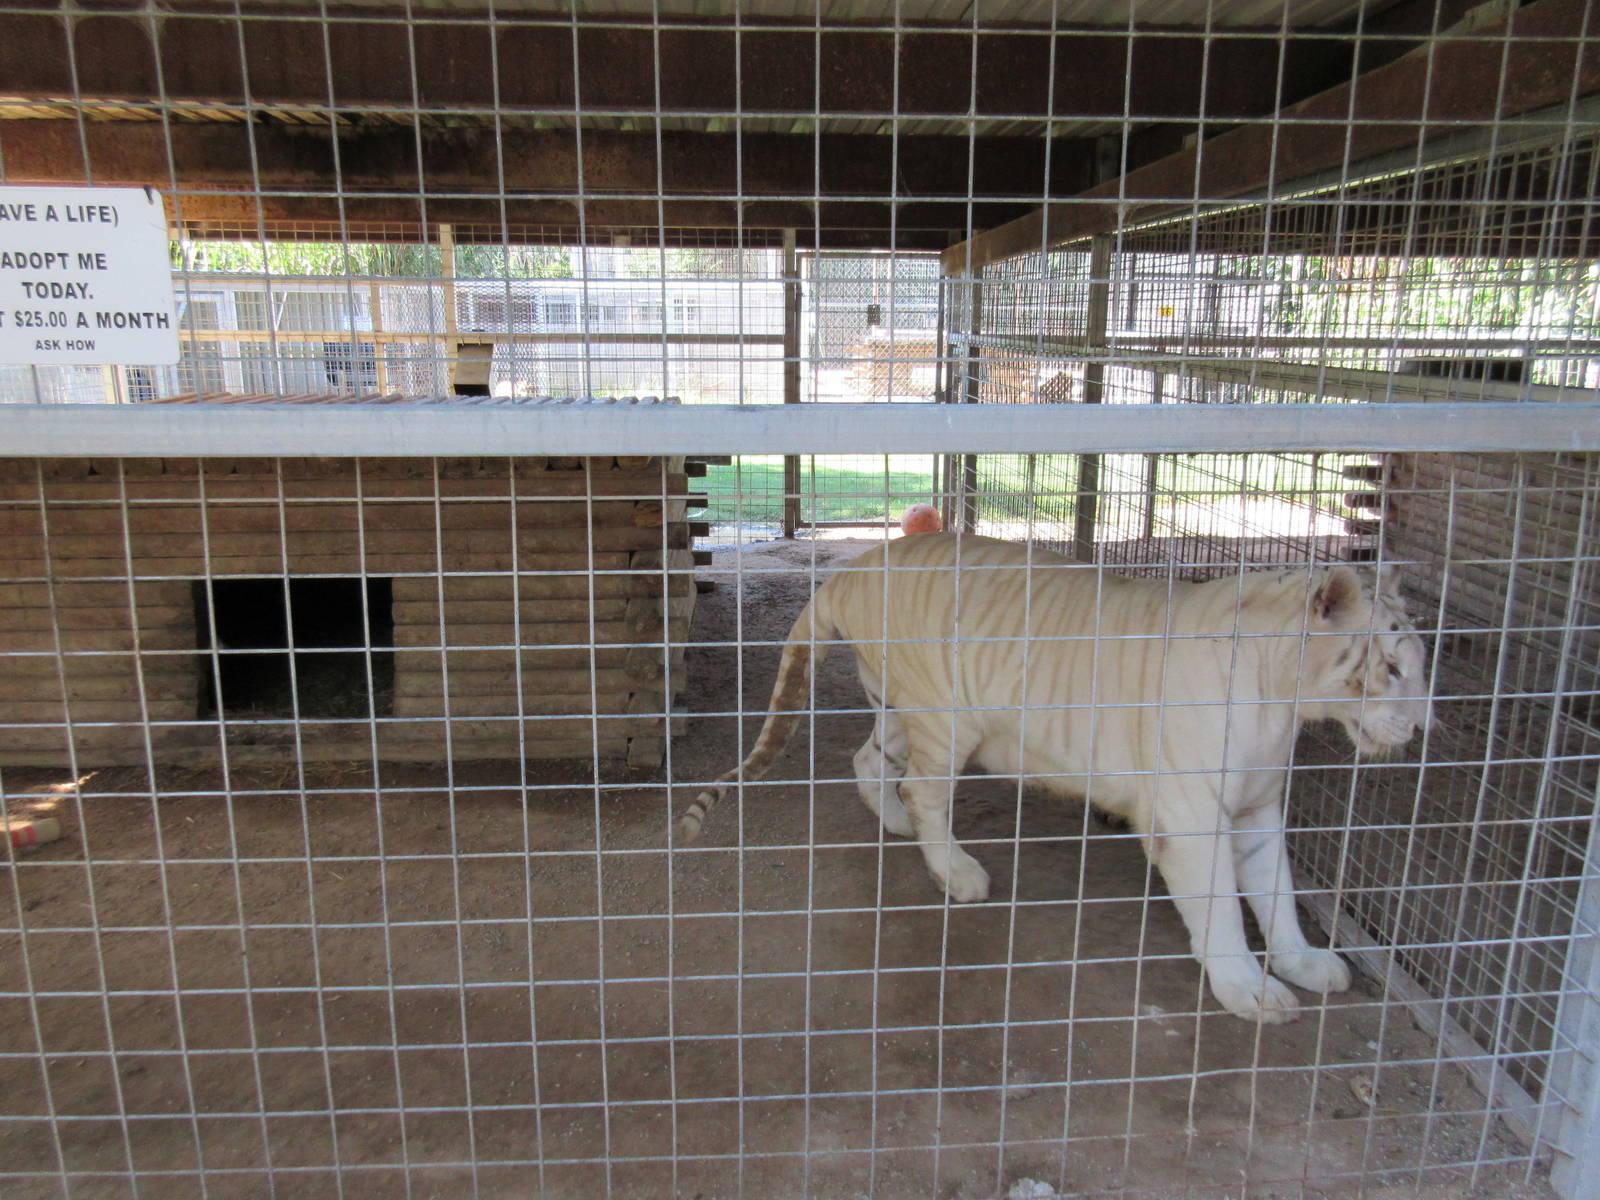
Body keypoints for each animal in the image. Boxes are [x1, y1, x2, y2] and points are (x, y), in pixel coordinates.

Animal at [675, 532, 1431, 1024]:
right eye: (1392, 667)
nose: (1423, 727)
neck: (1285, 700)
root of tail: (851, 571)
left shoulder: (1257, 810)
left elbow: (1278, 896)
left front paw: (1305, 966)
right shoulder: (1193, 817)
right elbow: (1221, 908)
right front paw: (1250, 991)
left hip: (901, 708)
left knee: (871, 763)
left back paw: (895, 824)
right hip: (945, 713)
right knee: (924, 789)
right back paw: (955, 871)